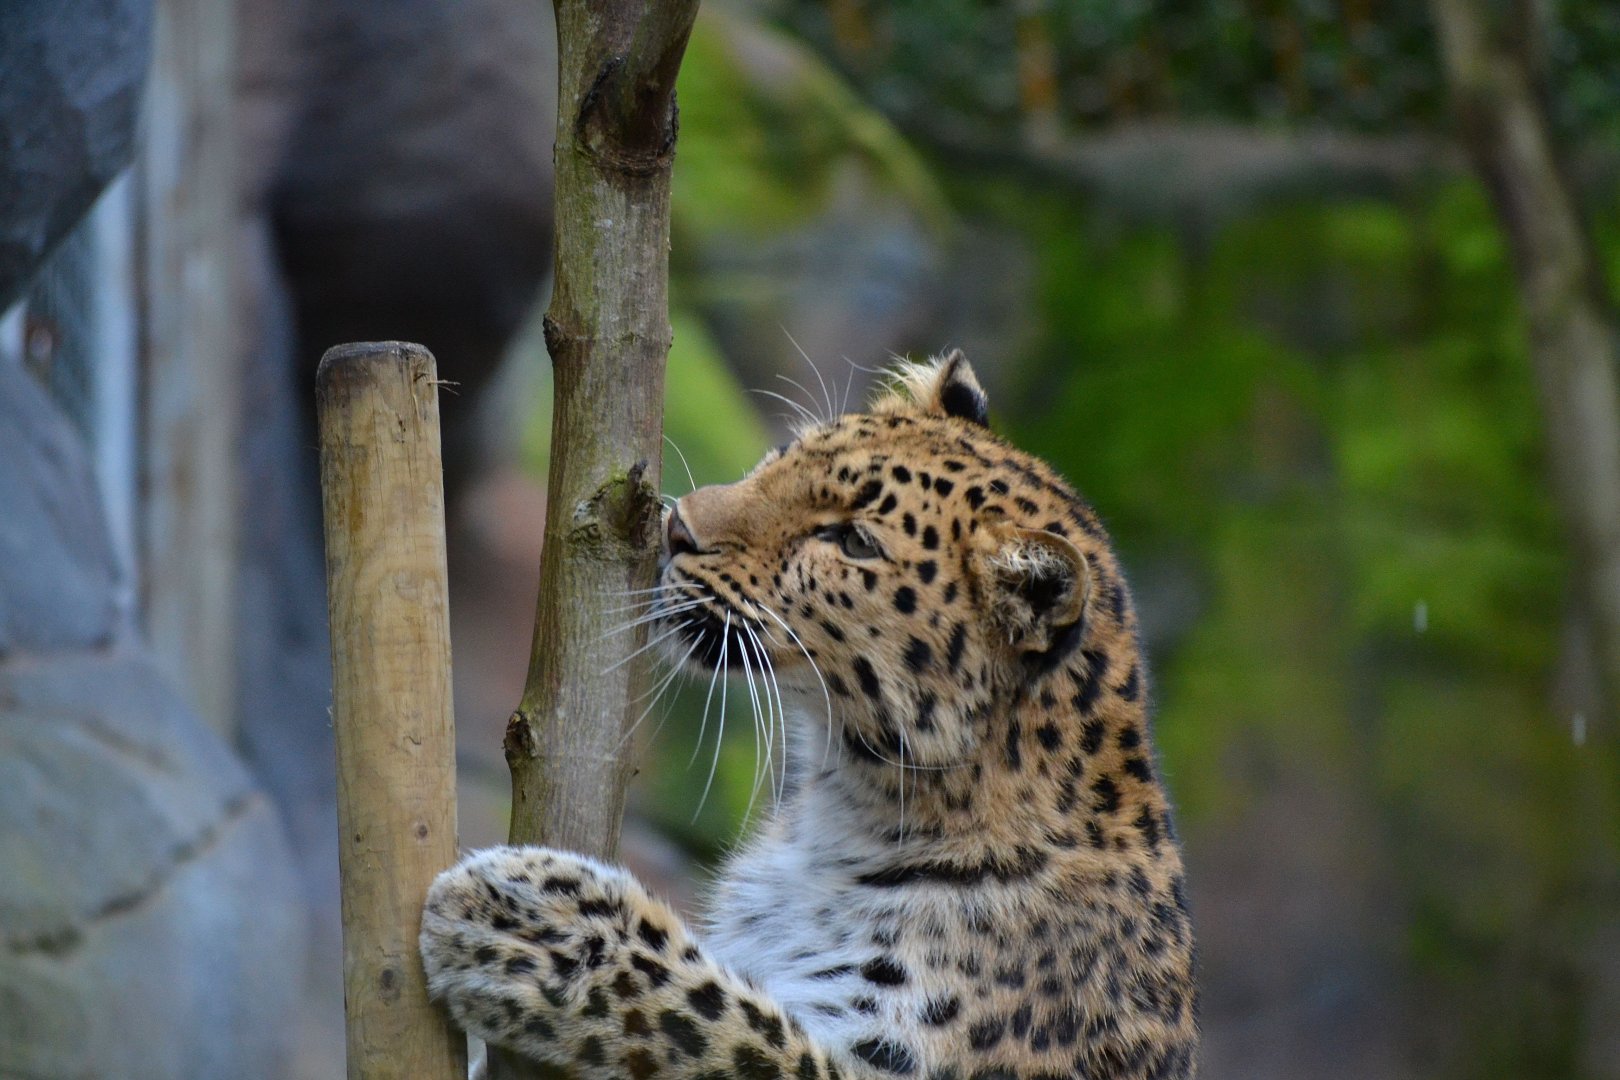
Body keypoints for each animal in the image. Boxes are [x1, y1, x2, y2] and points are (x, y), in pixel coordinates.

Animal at [420, 352, 1199, 1079]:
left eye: (852, 542)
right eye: (789, 452)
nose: (677, 529)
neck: (849, 809)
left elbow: (723, 1024)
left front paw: (533, 926)